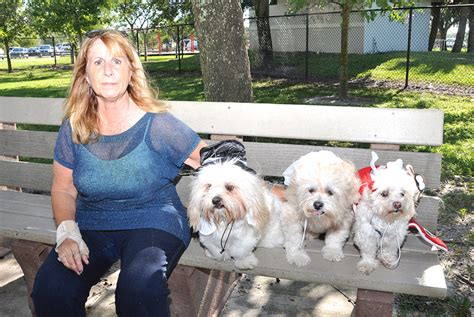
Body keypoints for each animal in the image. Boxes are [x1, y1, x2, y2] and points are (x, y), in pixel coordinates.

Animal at [187, 141, 284, 270]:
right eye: (208, 186)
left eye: (230, 187)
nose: (216, 200)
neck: (224, 219)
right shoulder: (209, 237)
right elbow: (215, 248)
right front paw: (217, 255)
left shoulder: (245, 238)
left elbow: (241, 251)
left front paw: (244, 261)